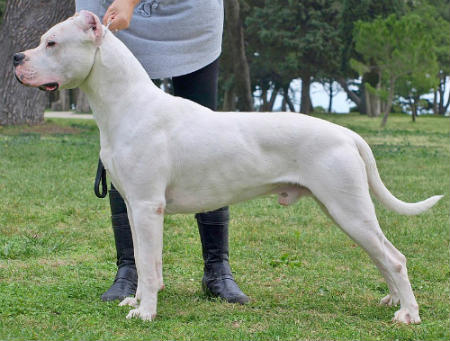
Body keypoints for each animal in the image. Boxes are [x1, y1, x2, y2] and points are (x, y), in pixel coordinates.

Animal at [14, 11, 442, 324]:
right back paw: (393, 301)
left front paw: (146, 313)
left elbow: (149, 267)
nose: (17, 58)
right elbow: (142, 259)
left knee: (394, 258)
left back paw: (408, 314)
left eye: (51, 42)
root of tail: (347, 133)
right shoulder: (134, 207)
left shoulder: (148, 207)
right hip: (344, 210)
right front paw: (135, 302)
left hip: (348, 207)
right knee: (383, 255)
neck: (126, 104)